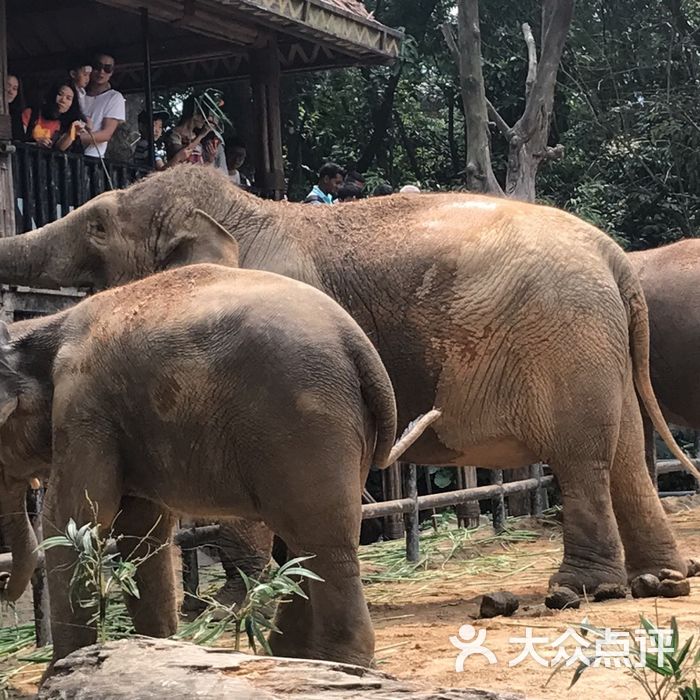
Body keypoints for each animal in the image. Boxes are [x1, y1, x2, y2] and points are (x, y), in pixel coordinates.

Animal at [0, 161, 696, 600]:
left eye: (95, 226)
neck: (244, 212)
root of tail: (613, 257)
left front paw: (235, 603)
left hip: (565, 339)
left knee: (582, 457)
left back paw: (578, 592)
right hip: (596, 344)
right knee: (624, 454)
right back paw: (658, 582)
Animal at [0, 262, 434, 668]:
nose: (4, 584)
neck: (41, 328)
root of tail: (359, 344)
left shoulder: (83, 409)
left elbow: (73, 523)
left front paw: (63, 669)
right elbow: (141, 530)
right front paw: (156, 651)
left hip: (307, 424)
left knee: (322, 539)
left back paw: (339, 661)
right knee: (303, 539)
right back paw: (292, 654)